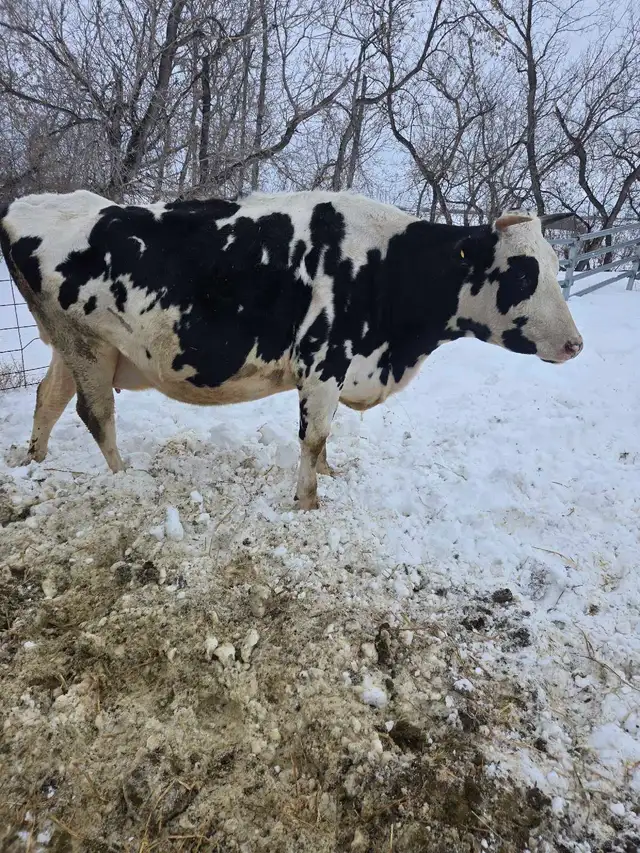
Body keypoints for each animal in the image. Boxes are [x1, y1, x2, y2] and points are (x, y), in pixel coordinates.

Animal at [0, 190, 582, 509]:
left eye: (557, 264)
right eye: (523, 273)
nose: (576, 344)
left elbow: (324, 439)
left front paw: (329, 474)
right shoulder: (324, 360)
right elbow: (314, 433)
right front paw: (307, 501)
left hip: (69, 347)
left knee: (48, 397)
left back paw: (34, 461)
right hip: (89, 343)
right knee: (94, 412)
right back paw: (126, 480)